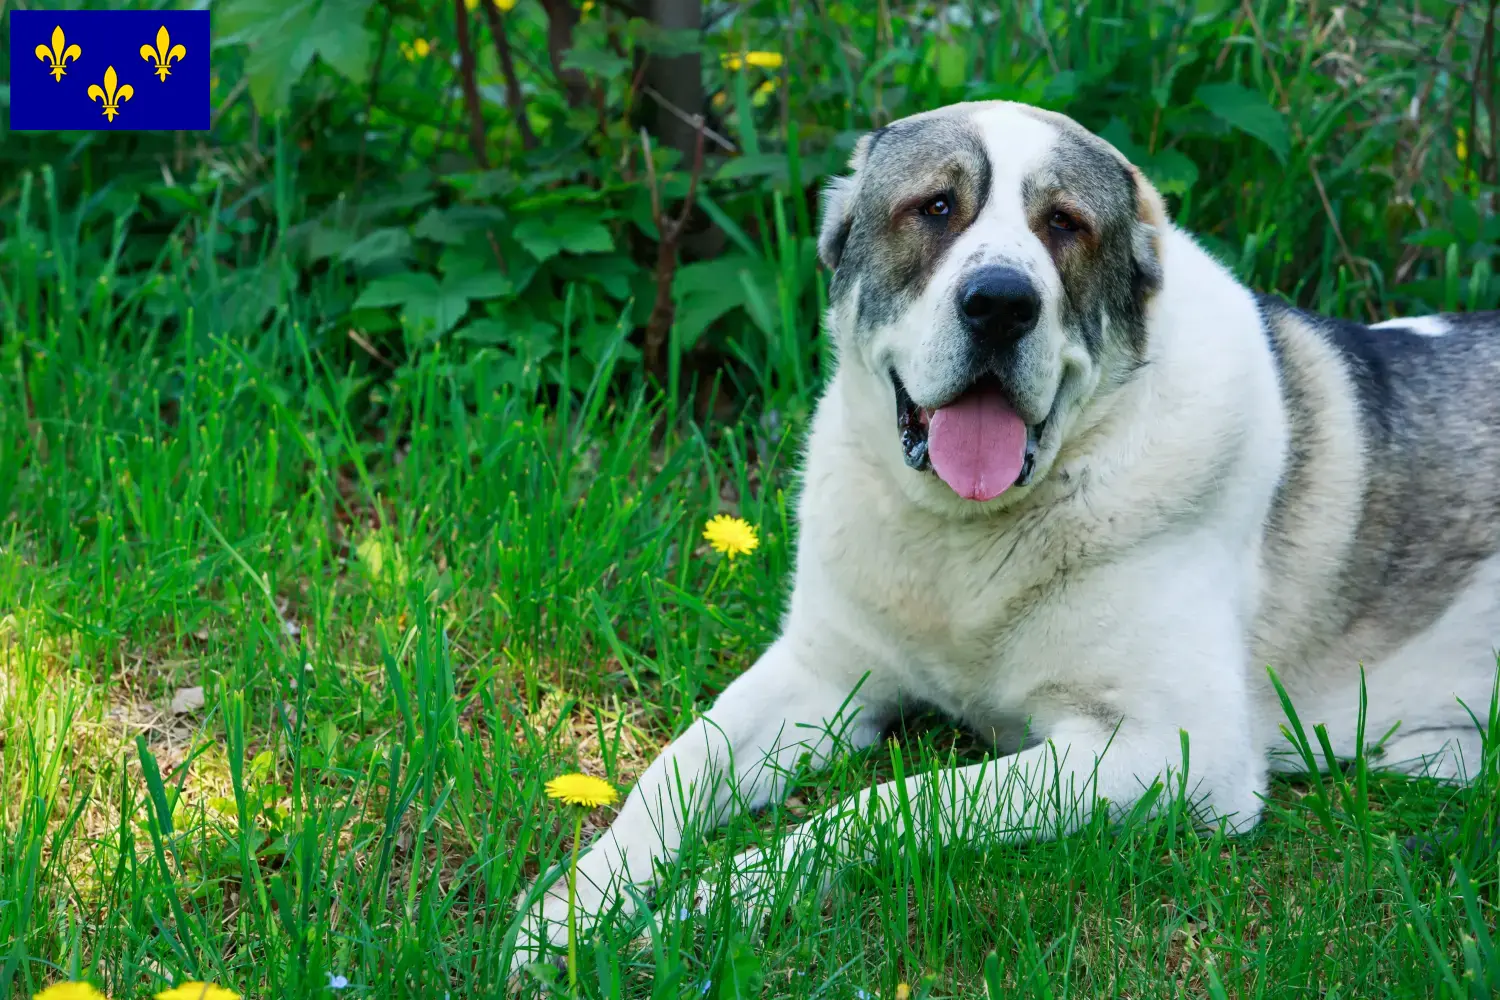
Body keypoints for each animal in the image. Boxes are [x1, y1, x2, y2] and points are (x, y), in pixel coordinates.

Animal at [510, 97, 1494, 965]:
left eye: (1064, 224)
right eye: (935, 208)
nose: (1000, 302)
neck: (963, 539)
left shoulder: (1172, 749)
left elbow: (886, 805)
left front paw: (715, 903)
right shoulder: (820, 672)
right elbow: (678, 767)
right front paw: (576, 911)